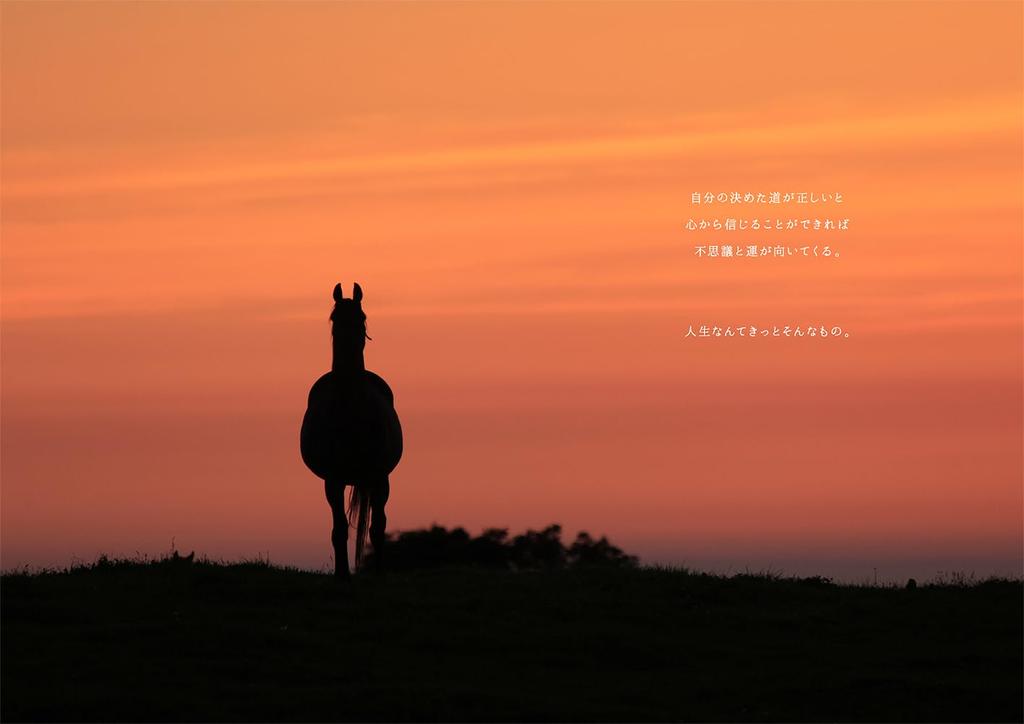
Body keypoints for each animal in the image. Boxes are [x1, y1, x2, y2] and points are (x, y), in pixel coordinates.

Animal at [300, 282, 403, 579]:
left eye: (362, 317)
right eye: (335, 318)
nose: (349, 346)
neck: (351, 410)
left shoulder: (379, 476)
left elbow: (378, 528)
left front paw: (378, 573)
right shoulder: (332, 480)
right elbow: (340, 529)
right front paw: (342, 574)